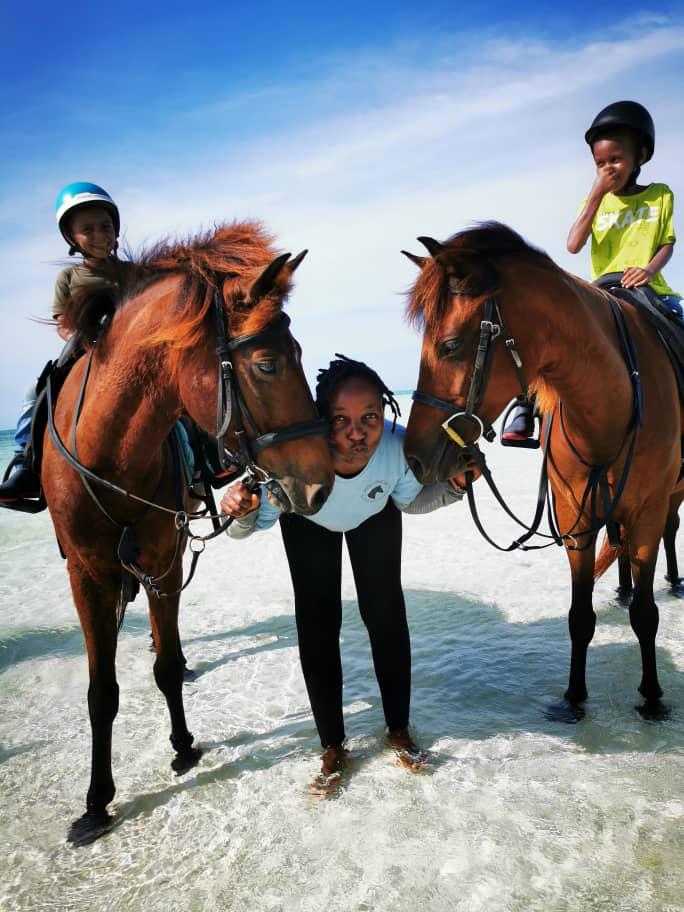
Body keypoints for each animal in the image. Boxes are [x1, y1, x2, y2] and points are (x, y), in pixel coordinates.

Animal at [40, 221, 335, 844]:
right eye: (268, 364)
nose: (321, 485)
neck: (109, 454)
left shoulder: (164, 562)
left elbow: (167, 668)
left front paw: (182, 746)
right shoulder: (86, 575)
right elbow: (101, 693)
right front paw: (96, 803)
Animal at [402, 222, 683, 722]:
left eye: (450, 345)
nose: (414, 458)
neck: (609, 404)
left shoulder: (648, 512)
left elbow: (647, 615)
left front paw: (652, 696)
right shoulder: (575, 516)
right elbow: (579, 615)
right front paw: (573, 696)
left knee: (670, 531)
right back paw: (623, 590)